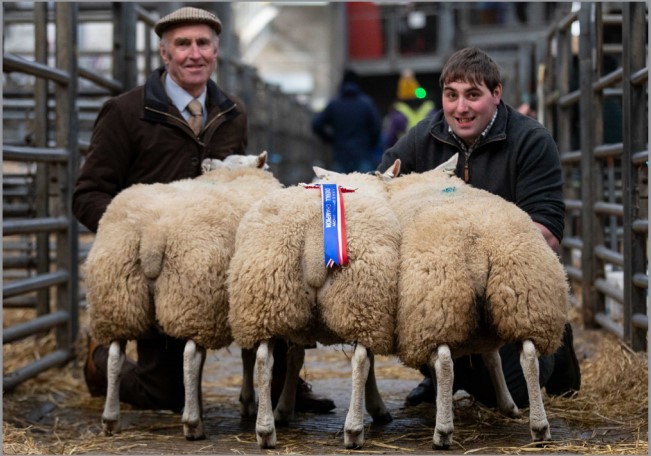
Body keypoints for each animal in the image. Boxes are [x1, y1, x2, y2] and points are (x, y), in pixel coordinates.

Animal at [84, 153, 282, 442]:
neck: (234, 174)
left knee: (115, 356)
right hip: (195, 296)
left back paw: (111, 419)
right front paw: (245, 403)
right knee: (190, 357)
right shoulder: (247, 299)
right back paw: (192, 424)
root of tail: (153, 233)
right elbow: (246, 356)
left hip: (119, 295)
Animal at [228, 160, 402, 448]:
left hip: (269, 298)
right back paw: (354, 430)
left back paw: (265, 430)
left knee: (263, 361)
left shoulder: (300, 321)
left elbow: (295, 359)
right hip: (361, 298)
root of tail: (312, 237)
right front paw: (377, 407)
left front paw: (284, 409)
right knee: (360, 362)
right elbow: (370, 362)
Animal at [388, 157, 572, 448]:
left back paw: (443, 431)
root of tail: (476, 246)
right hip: (524, 300)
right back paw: (539, 426)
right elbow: (493, 358)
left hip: (439, 304)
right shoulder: (486, 331)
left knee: (444, 363)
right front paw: (507, 404)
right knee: (529, 356)